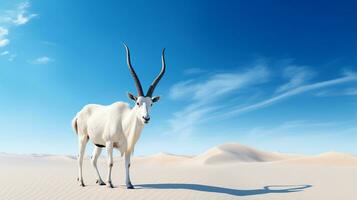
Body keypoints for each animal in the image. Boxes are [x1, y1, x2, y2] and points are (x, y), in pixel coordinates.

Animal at [72, 44, 167, 189]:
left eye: (151, 104)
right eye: (137, 103)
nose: (146, 118)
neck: (124, 121)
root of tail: (79, 112)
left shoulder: (128, 146)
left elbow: (128, 164)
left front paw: (129, 184)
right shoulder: (109, 143)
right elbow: (110, 162)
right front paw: (110, 183)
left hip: (98, 144)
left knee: (93, 159)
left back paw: (100, 181)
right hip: (83, 138)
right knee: (80, 157)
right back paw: (82, 182)